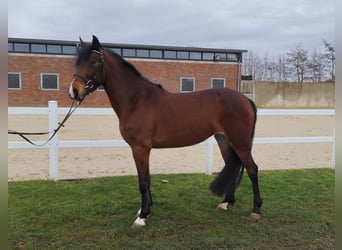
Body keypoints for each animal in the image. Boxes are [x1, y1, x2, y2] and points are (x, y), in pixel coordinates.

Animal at [68, 35, 264, 229]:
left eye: (93, 61)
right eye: (77, 62)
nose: (74, 91)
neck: (137, 100)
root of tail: (245, 99)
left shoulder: (140, 148)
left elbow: (143, 181)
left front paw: (142, 216)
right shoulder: (142, 149)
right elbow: (147, 178)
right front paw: (145, 210)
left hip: (240, 142)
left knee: (252, 169)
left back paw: (255, 210)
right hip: (224, 140)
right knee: (234, 166)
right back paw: (225, 203)